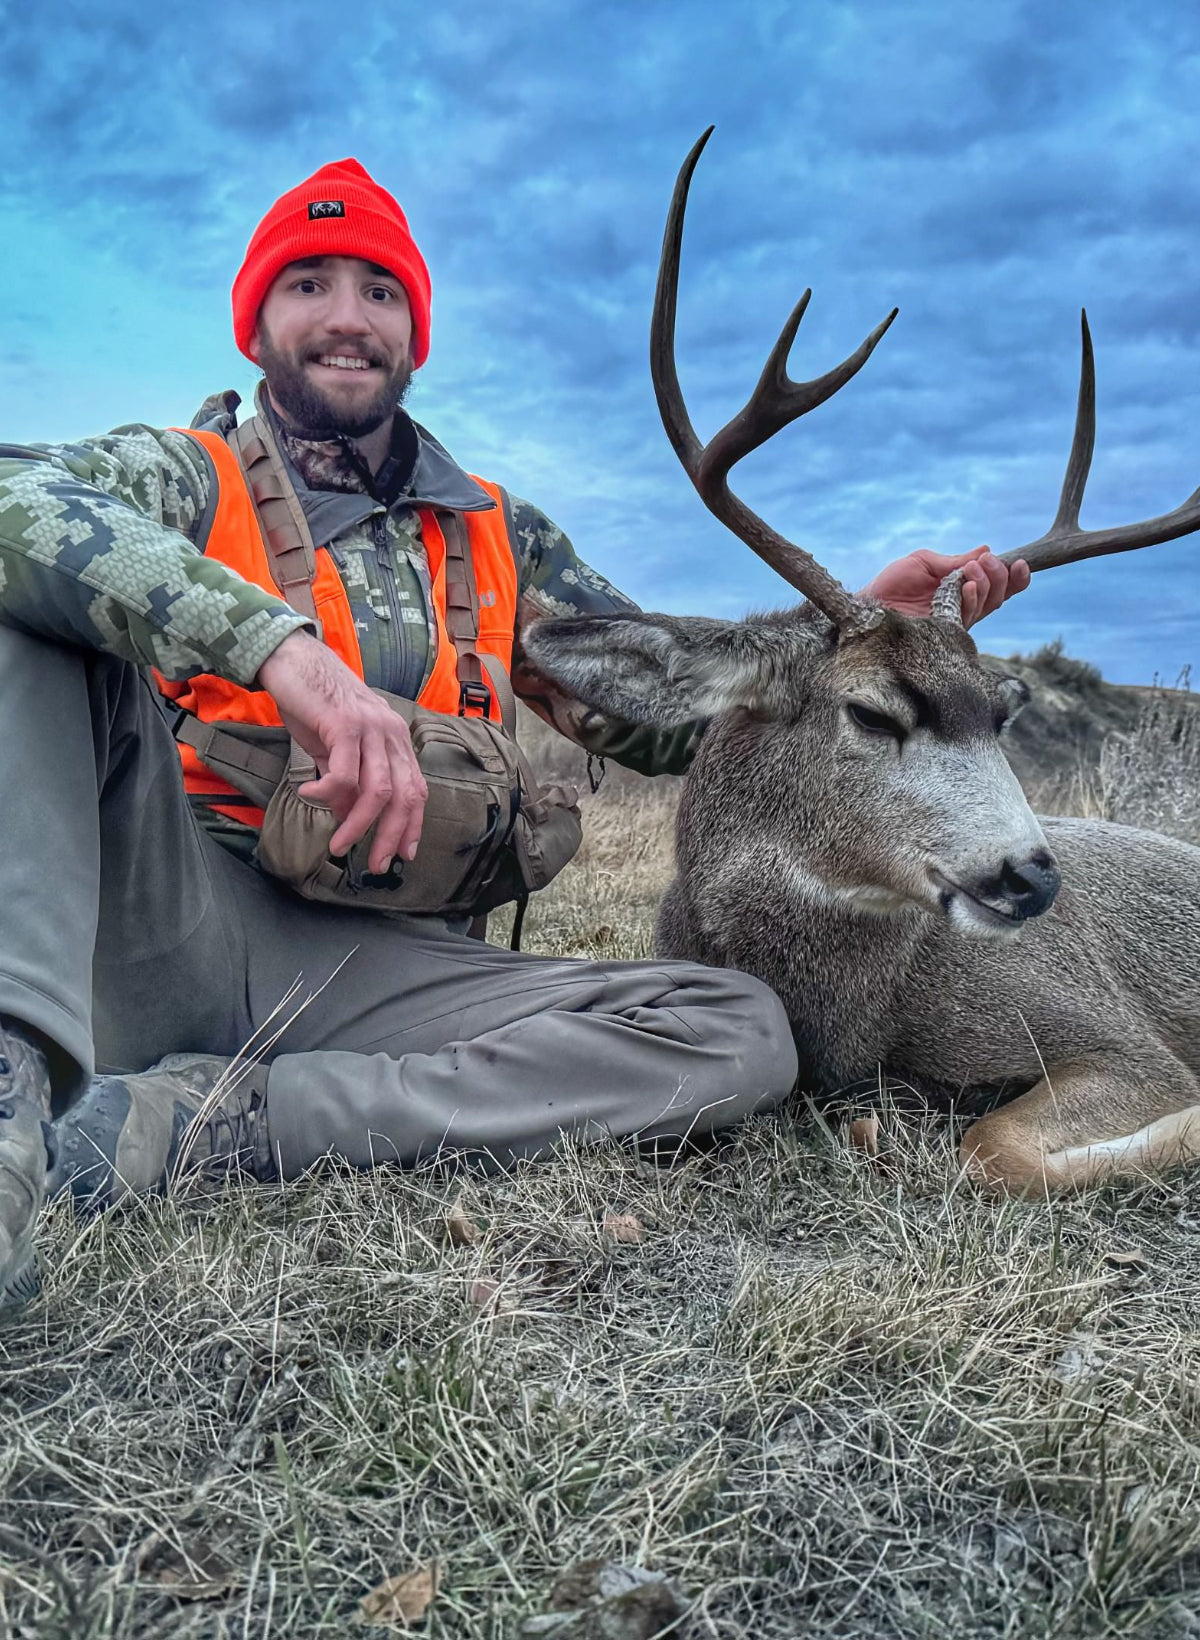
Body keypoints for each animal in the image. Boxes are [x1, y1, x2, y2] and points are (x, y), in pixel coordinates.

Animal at [521, 129, 1200, 1196]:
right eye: (876, 712)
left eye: (1003, 710)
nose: (1032, 879)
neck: (853, 1019)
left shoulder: (1123, 1038)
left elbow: (994, 1148)